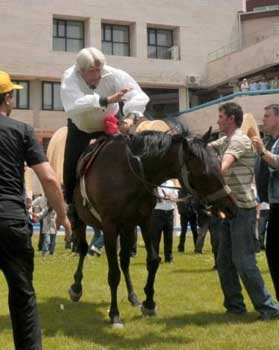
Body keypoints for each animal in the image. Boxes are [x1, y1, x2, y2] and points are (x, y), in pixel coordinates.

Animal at [69, 129, 237, 328]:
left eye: (219, 165)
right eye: (204, 173)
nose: (230, 207)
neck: (130, 173)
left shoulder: (145, 221)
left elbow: (153, 261)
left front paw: (148, 303)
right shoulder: (110, 226)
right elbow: (113, 273)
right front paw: (115, 314)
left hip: (128, 228)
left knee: (124, 260)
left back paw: (133, 296)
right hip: (84, 222)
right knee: (83, 249)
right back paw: (76, 288)